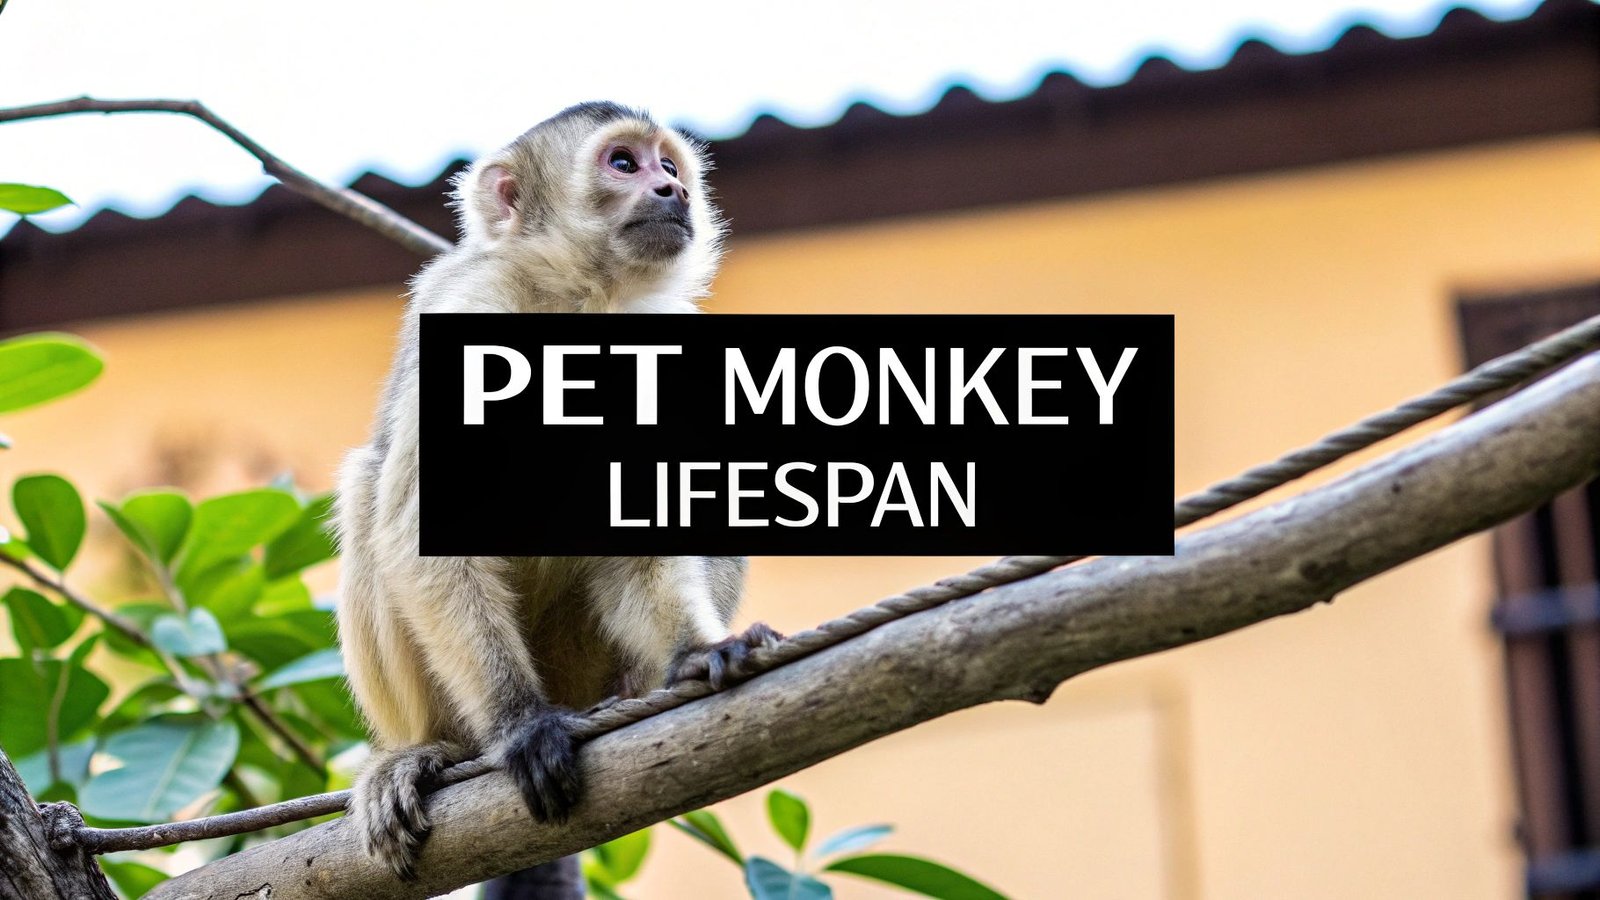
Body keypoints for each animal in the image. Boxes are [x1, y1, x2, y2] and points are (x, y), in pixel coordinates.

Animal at [333, 101, 782, 882]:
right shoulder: (474, 311)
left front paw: (697, 651)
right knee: (371, 484)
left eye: (669, 165)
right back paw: (428, 748)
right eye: (624, 165)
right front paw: (520, 725)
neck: (577, 307)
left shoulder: (660, 339)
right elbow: (417, 530)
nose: (673, 190)